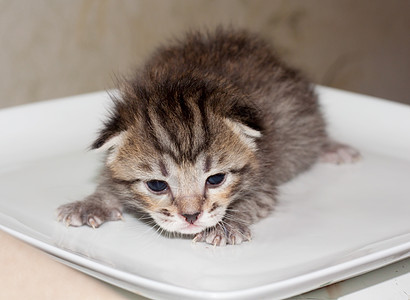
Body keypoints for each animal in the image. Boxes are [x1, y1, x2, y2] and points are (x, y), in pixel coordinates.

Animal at [56, 28, 358, 246]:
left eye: (215, 179)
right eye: (157, 185)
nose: (191, 216)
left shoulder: (264, 179)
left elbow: (250, 201)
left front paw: (225, 225)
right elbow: (107, 181)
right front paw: (92, 203)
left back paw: (333, 148)